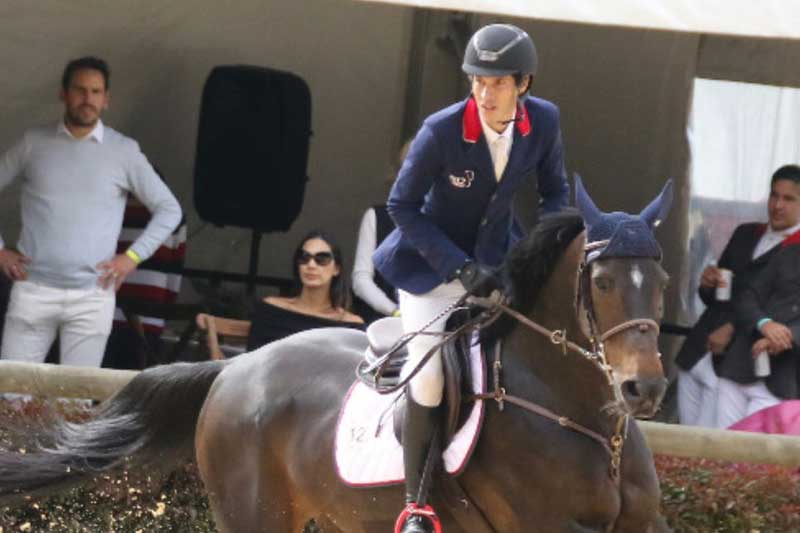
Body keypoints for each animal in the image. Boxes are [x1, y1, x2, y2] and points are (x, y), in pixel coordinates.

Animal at [0, 187, 672, 528]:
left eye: (662, 281)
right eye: (603, 284)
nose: (644, 390)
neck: (583, 418)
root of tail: (237, 368)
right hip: (258, 515)